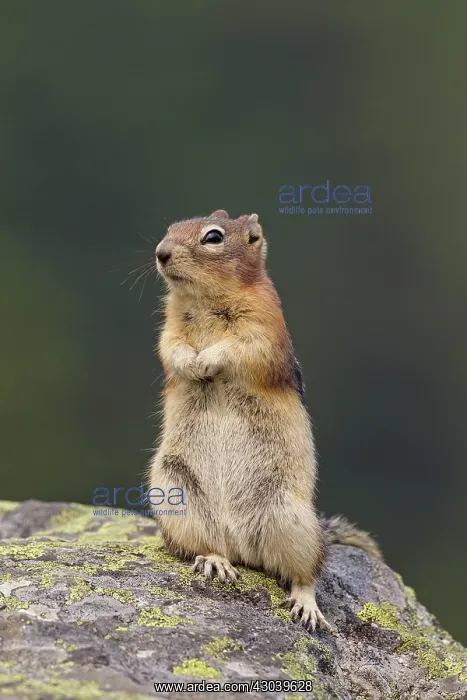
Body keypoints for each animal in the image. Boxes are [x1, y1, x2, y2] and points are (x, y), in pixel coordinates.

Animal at [148, 209, 381, 632]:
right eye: (171, 228)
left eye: (213, 237)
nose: (161, 253)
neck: (204, 299)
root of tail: (241, 547)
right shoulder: (169, 328)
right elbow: (170, 348)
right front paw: (192, 363)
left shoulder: (265, 325)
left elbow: (243, 348)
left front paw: (208, 359)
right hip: (177, 497)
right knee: (207, 545)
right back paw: (215, 562)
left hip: (292, 520)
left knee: (307, 572)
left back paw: (307, 606)